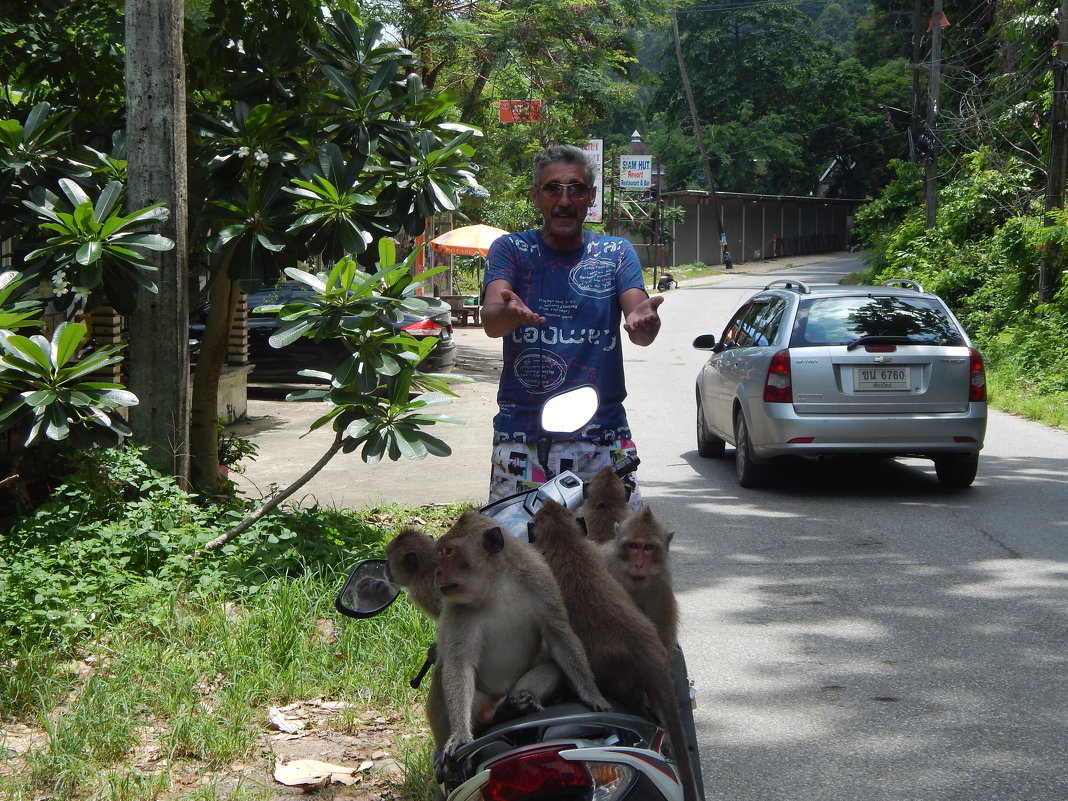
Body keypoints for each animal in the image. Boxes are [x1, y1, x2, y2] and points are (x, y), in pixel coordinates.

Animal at [431, 510, 606, 760]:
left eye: (449, 552)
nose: (437, 572)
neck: (496, 584)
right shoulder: (457, 608)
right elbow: (458, 662)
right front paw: (459, 735)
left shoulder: (540, 578)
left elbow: (558, 634)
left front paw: (592, 695)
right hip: (478, 703)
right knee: (441, 673)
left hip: (512, 689)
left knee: (553, 666)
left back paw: (510, 709)